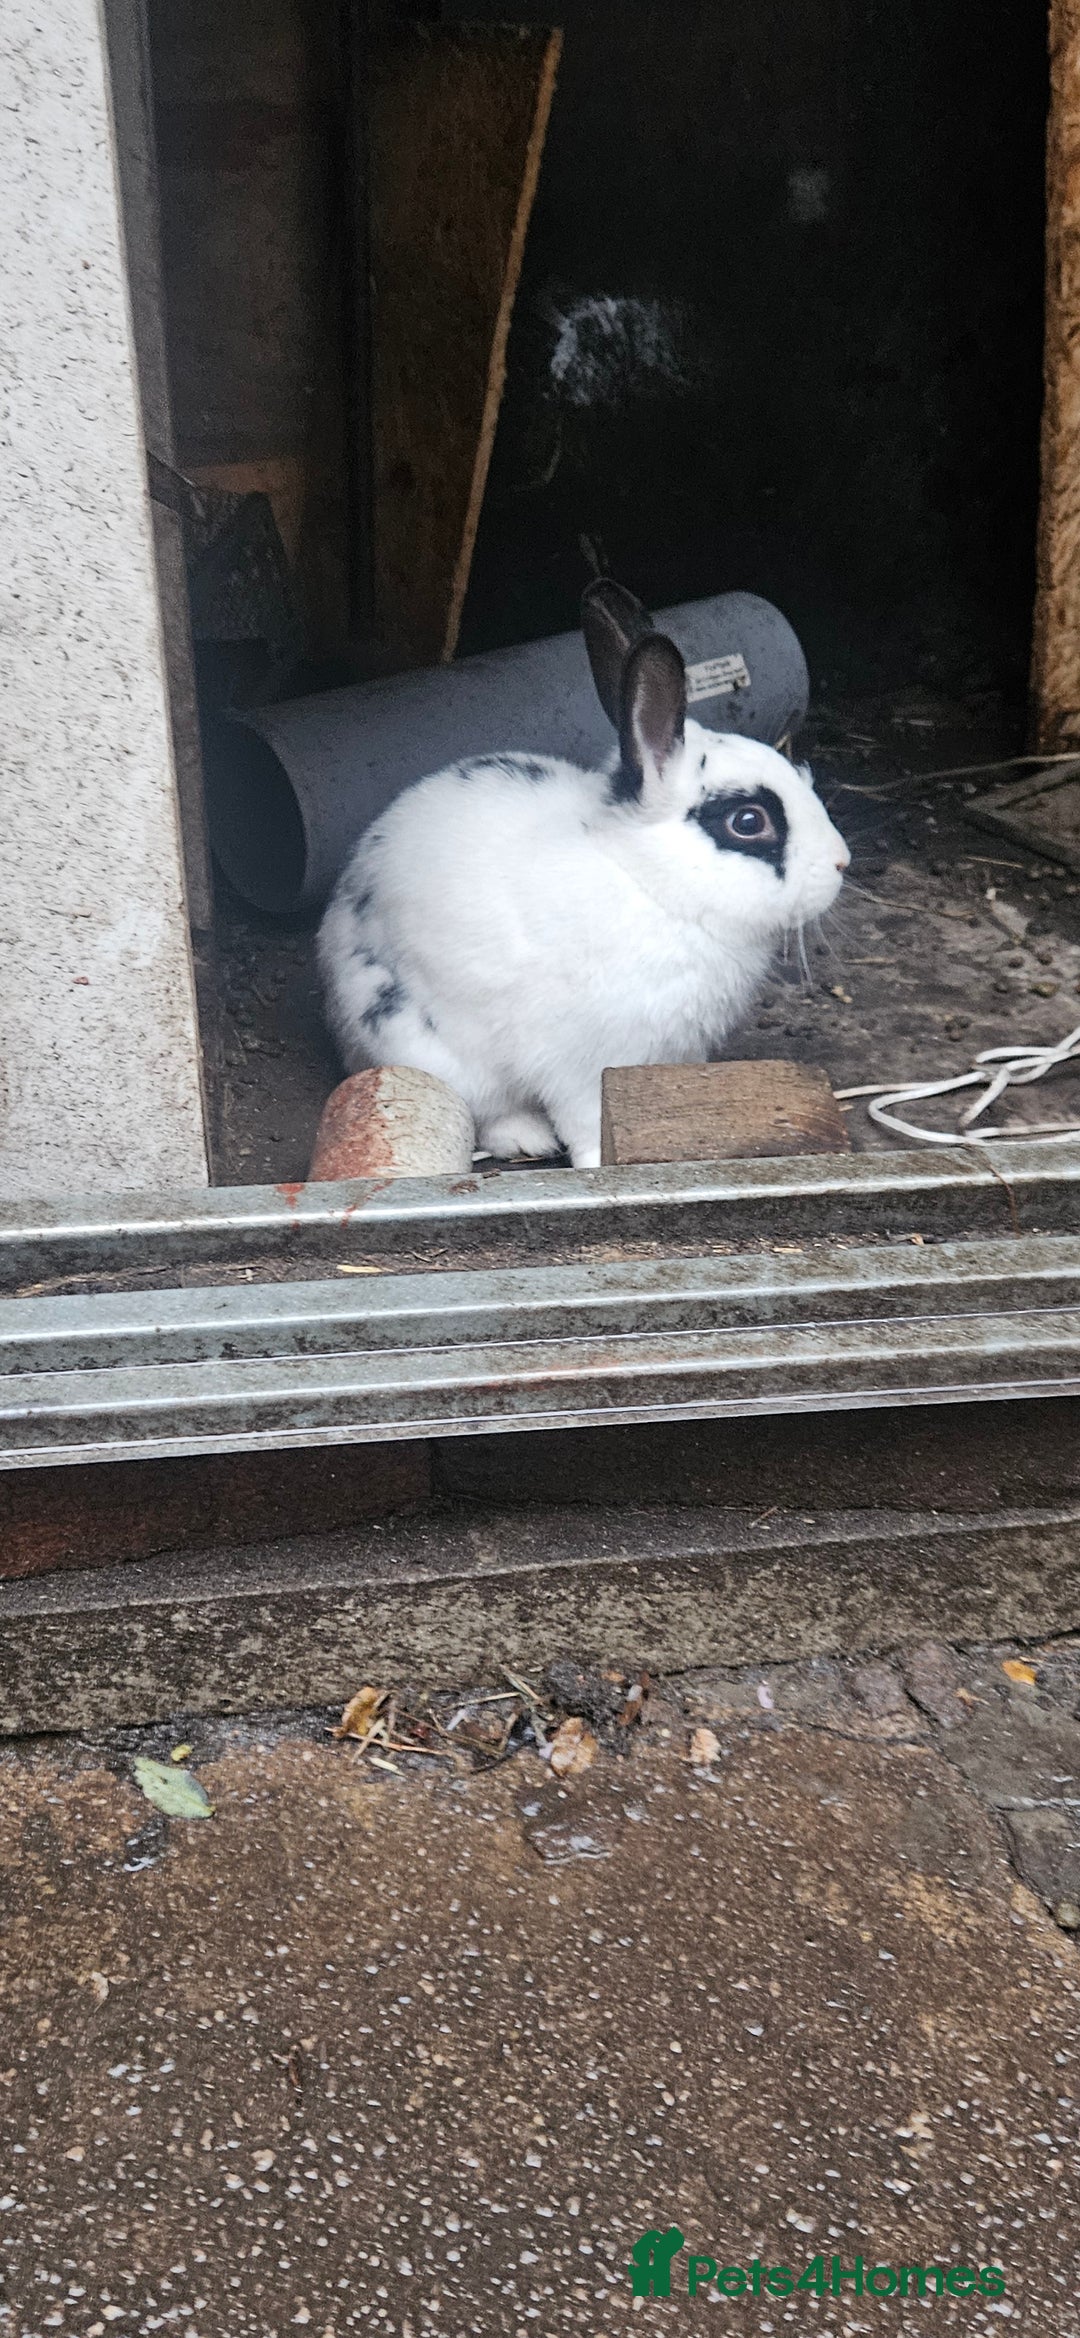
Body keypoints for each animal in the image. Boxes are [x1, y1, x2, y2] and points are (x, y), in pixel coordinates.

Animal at [317, 583, 850, 1168]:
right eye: (749, 822)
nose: (841, 862)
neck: (651, 885)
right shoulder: (581, 1062)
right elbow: (587, 1121)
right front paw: (598, 1165)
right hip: (424, 1044)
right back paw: (524, 1137)